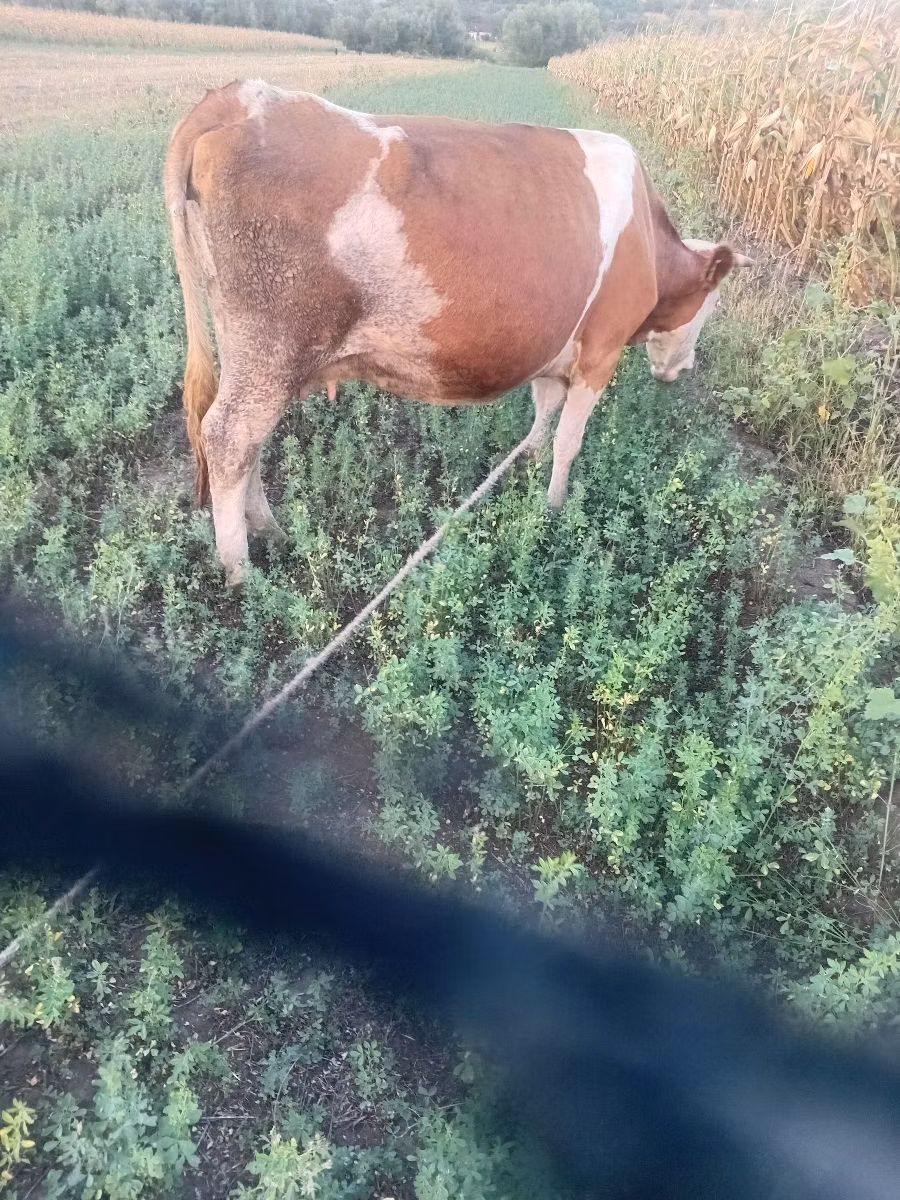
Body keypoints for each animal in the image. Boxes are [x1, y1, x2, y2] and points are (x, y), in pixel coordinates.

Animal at [164, 81, 752, 586]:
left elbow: (544, 411)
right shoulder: (600, 352)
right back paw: (244, 572)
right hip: (271, 347)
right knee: (230, 437)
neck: (648, 243)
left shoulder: (556, 350)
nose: (684, 367)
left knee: (245, 441)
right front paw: (554, 509)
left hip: (254, 355)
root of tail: (240, 97)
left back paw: (269, 531)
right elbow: (570, 440)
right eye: (712, 304)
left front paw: (527, 462)